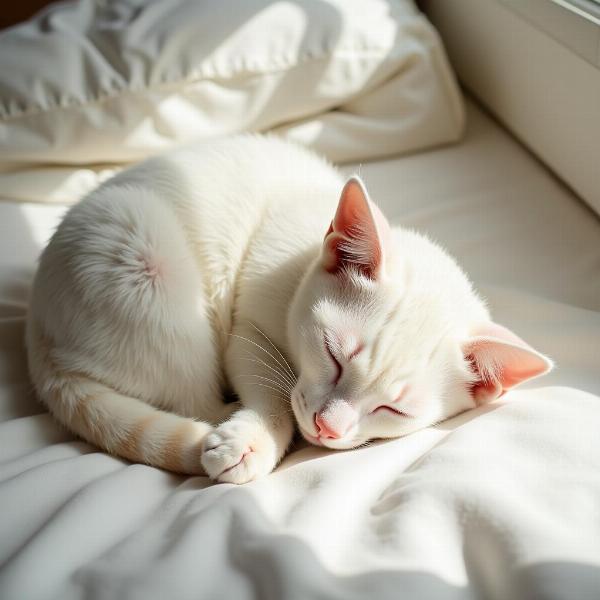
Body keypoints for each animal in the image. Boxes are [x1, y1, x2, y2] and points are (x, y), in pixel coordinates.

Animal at [28, 135, 552, 482]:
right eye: (333, 355)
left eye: (394, 409)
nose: (327, 427)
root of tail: (39, 331)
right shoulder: (247, 327)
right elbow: (272, 388)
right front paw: (254, 437)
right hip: (144, 258)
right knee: (193, 399)